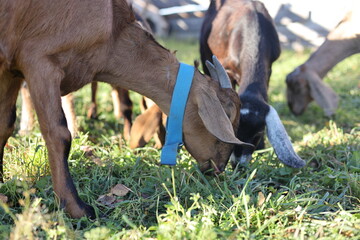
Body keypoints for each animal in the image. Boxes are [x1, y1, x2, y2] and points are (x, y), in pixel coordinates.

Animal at [0, 0, 245, 218]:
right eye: (228, 114)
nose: (220, 167)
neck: (111, 28)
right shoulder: (40, 61)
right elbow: (59, 135)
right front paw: (77, 208)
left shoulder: (10, 70)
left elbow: (5, 126)